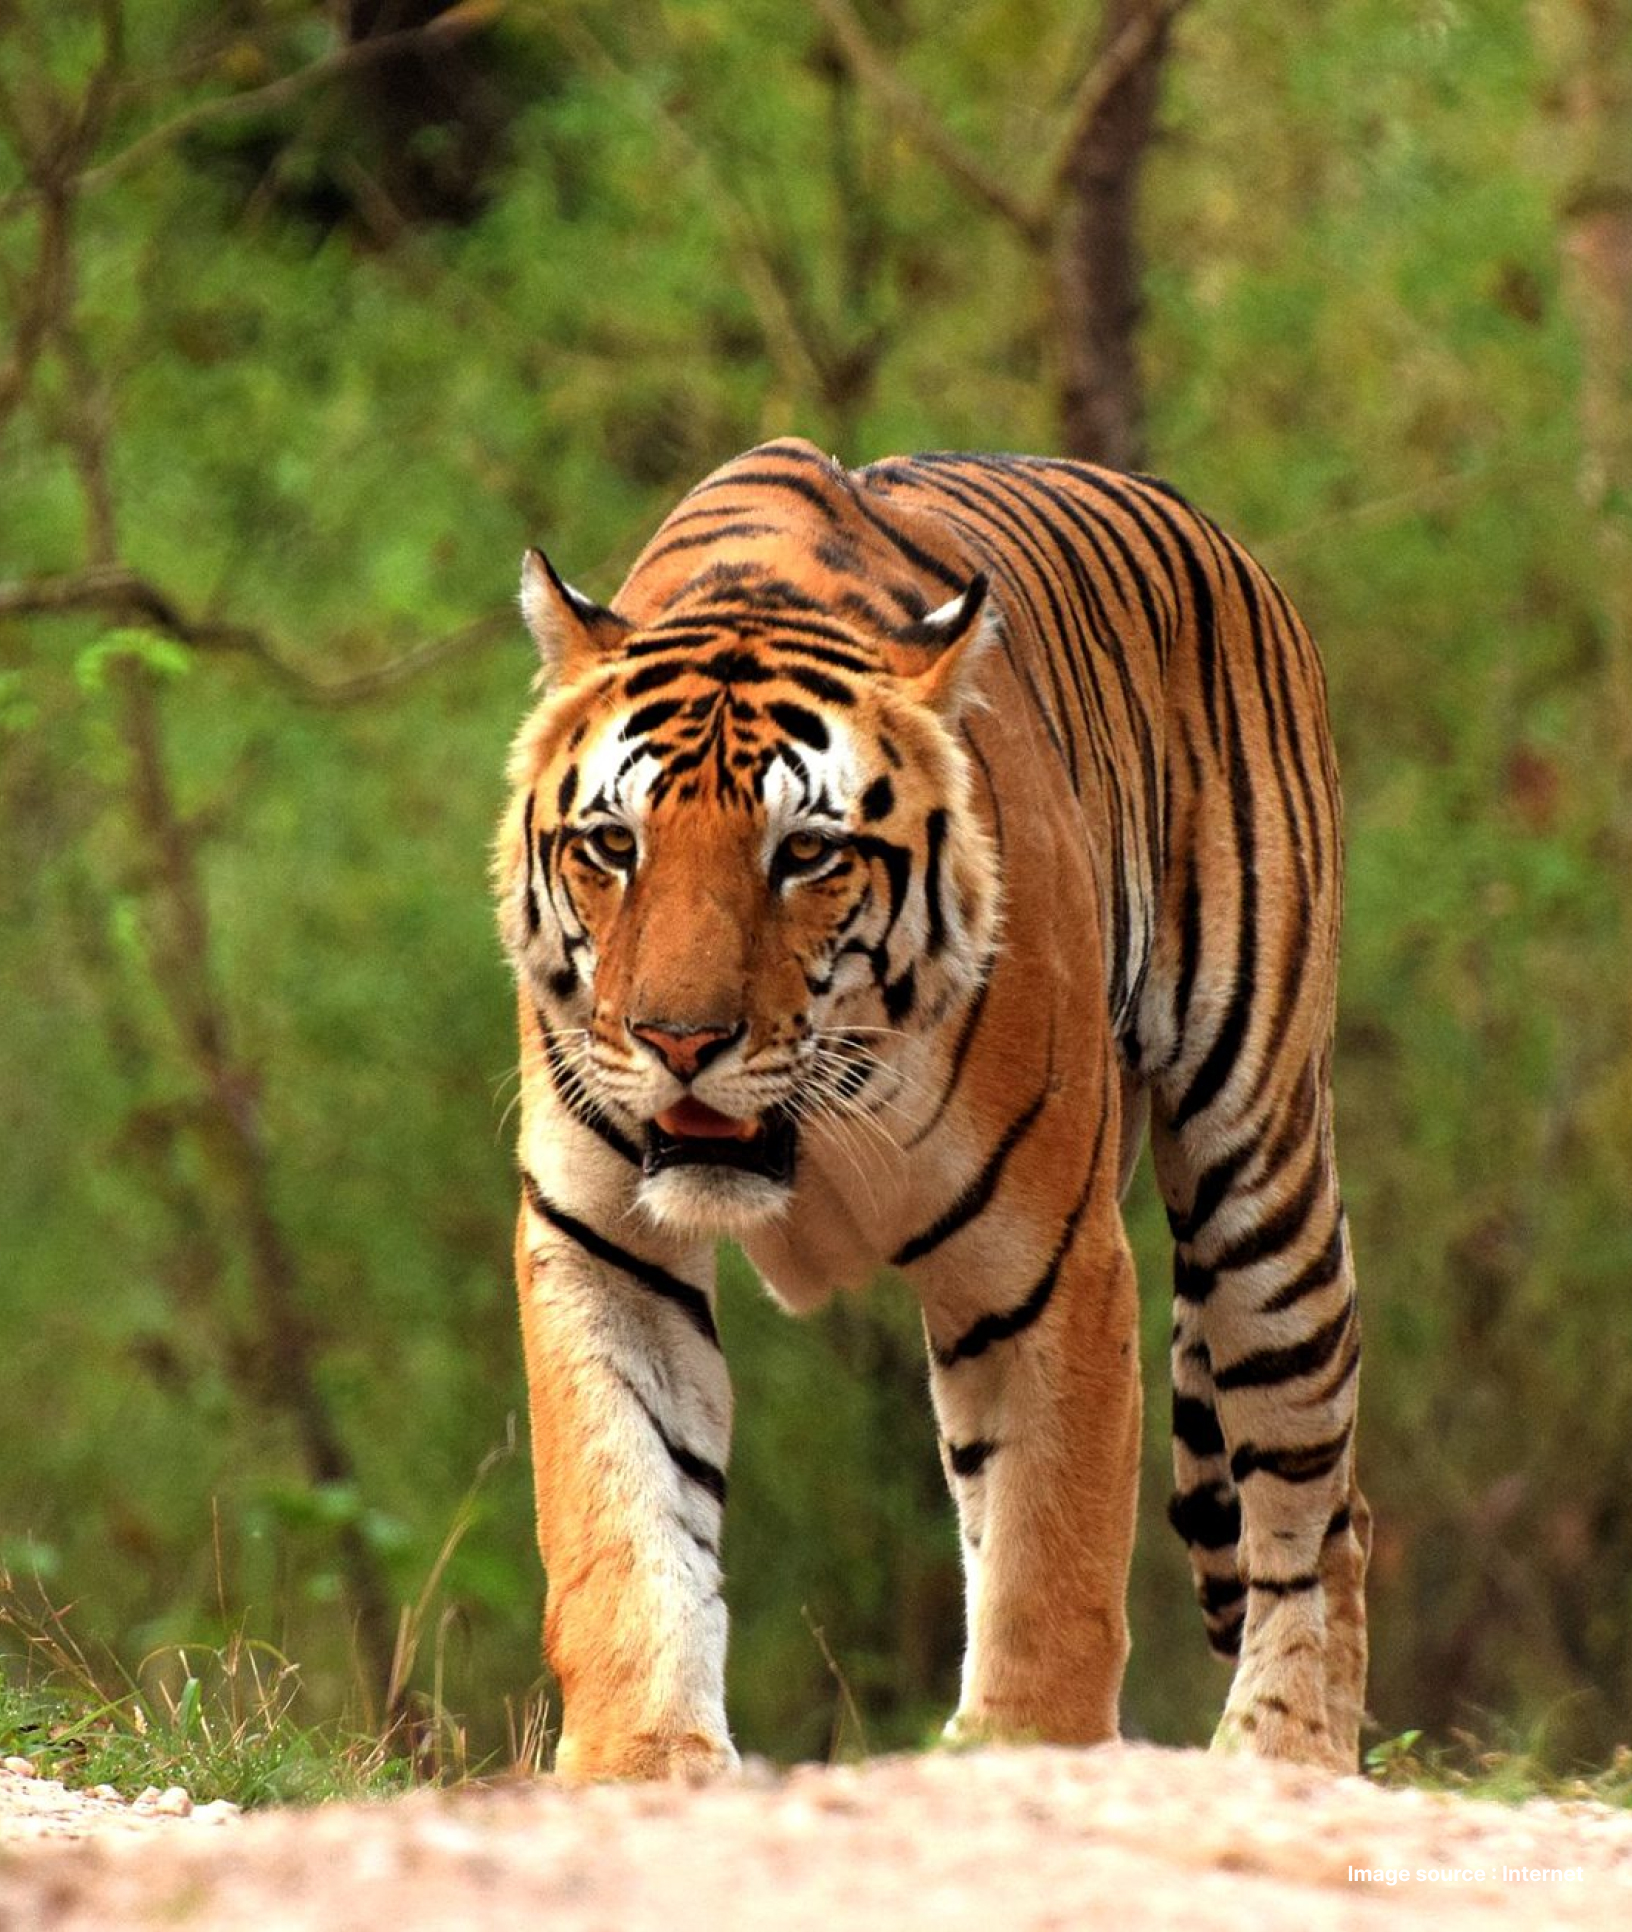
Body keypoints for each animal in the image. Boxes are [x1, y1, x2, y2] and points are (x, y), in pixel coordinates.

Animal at [496, 437, 1370, 1781]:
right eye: (613, 845)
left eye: (804, 854)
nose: (678, 1041)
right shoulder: (603, 1242)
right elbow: (623, 1519)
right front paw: (639, 1759)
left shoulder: (1051, 1264)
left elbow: (1052, 1550)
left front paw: (1025, 1751)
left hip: (1259, 1178)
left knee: (1316, 1498)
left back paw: (1284, 1755)